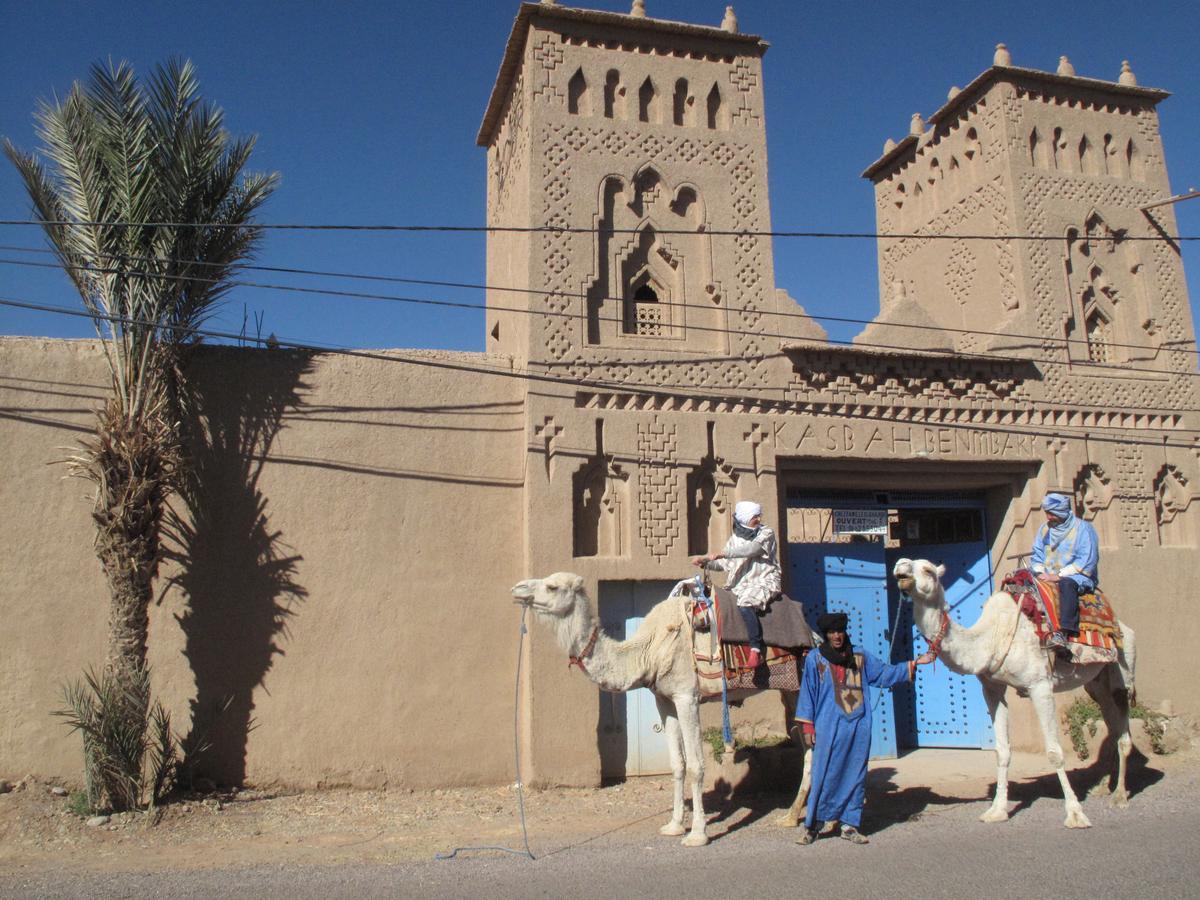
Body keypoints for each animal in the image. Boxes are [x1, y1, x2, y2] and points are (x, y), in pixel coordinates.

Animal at [511, 573, 811, 849]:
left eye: (552, 586)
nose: (518, 588)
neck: (648, 649)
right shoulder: (664, 699)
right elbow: (677, 764)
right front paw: (674, 826)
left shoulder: (687, 696)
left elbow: (696, 765)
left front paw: (698, 834)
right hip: (790, 691)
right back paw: (791, 817)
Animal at [897, 556, 1137, 830]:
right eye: (903, 564)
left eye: (927, 569)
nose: (900, 568)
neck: (990, 639)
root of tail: (1122, 624)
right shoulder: (992, 688)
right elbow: (1002, 751)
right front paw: (997, 810)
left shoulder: (1040, 685)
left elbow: (1054, 752)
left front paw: (1075, 814)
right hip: (1096, 683)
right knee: (1111, 723)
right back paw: (1102, 787)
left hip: (1122, 668)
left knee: (1123, 729)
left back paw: (1119, 796)